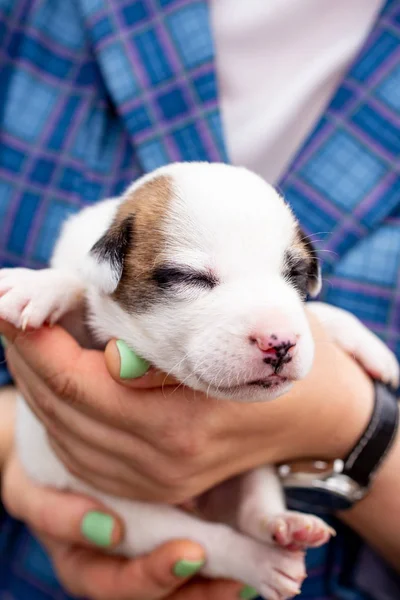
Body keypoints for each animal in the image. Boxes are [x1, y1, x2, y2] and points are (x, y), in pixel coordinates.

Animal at [1, 163, 398, 600]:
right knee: (208, 541)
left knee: (253, 507)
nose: (280, 342)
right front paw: (37, 285)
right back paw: (262, 560)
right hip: (124, 514)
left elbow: (319, 315)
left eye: (294, 274)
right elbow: (76, 286)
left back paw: (285, 525)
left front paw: (367, 343)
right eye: (189, 278)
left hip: (248, 466)